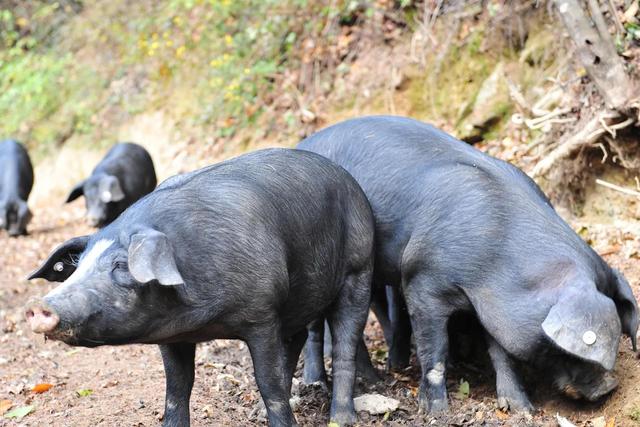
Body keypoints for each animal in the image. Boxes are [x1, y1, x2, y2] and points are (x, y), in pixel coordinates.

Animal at [26, 149, 376, 426]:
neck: (204, 320)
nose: (39, 305)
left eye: (121, 265)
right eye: (79, 265)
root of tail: (352, 183)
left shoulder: (262, 314)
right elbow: (177, 389)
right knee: (298, 337)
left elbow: (269, 384)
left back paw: (342, 420)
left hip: (359, 268)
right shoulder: (172, 336)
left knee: (345, 341)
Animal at [298, 116, 636, 414]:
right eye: (567, 348)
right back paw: (324, 383)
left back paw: (378, 374)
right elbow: (435, 348)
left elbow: (502, 352)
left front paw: (521, 408)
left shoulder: (493, 306)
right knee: (317, 327)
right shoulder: (421, 280)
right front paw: (436, 411)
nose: (610, 387)